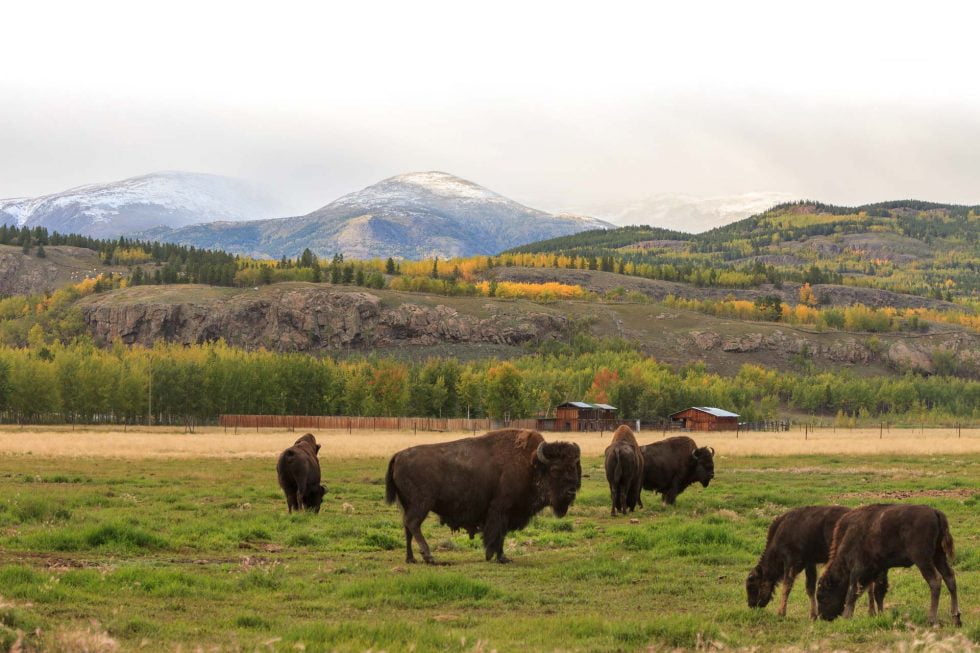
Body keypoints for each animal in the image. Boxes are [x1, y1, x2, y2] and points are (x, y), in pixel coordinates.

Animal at [384, 429, 582, 564]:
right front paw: (497, 556)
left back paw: (411, 559)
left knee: (407, 527)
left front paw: (500, 557)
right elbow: (498, 534)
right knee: (413, 524)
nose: (571, 492)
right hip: (422, 503)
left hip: (408, 504)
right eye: (555, 470)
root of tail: (398, 455)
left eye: (574, 467)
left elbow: (501, 534)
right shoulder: (501, 510)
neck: (531, 464)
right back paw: (429, 557)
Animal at [747, 505, 887, 619]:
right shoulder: (810, 563)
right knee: (869, 584)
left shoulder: (791, 562)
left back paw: (872, 612)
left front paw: (781, 613)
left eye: (752, 585)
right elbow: (810, 587)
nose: (751, 605)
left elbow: (786, 586)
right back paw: (872, 612)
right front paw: (813, 615)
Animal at [816, 504, 961, 627]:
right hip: (938, 555)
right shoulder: (880, 569)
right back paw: (956, 619)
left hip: (923, 559)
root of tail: (935, 512)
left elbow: (852, 591)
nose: (823, 617)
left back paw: (932, 621)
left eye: (822, 597)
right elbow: (878, 592)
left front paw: (847, 617)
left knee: (935, 580)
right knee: (949, 577)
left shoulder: (857, 569)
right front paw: (879, 615)